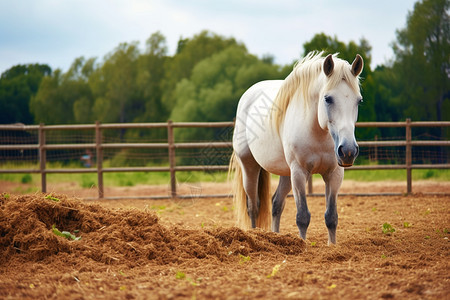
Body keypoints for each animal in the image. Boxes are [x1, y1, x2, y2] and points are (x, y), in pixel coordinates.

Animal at [230, 51, 364, 244]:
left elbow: (331, 217)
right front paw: (303, 244)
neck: (318, 133)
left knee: (276, 204)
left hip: (286, 173)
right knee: (253, 206)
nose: (348, 151)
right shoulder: (299, 172)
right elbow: (302, 217)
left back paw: (276, 236)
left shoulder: (334, 174)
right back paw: (254, 235)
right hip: (250, 166)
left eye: (359, 101)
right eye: (328, 98)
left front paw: (332, 246)